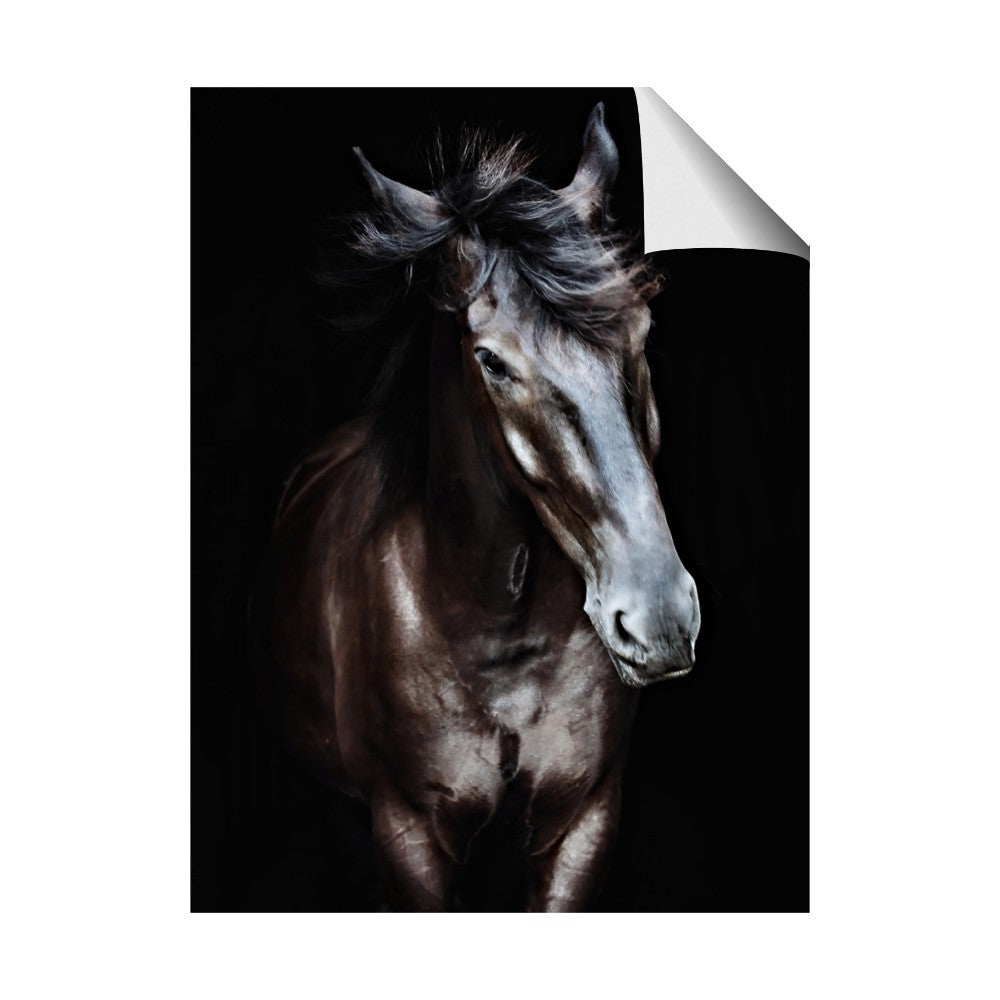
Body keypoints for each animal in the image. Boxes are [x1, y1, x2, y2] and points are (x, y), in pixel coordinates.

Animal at [251, 104, 700, 911]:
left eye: (642, 329)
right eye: (491, 359)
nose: (658, 618)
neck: (496, 635)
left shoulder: (582, 825)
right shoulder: (409, 838)